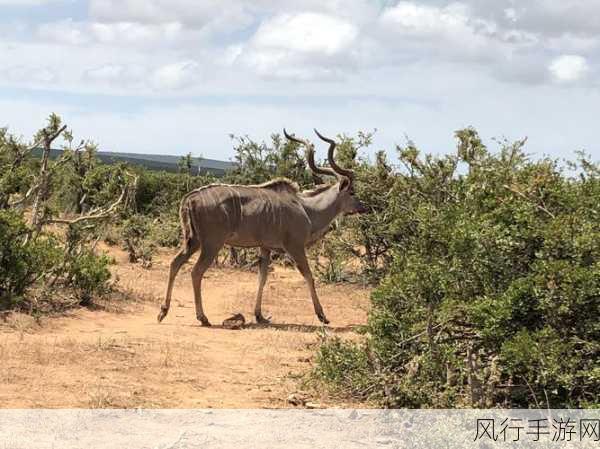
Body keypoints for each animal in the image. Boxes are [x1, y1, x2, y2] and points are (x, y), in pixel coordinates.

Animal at [157, 130, 366, 326]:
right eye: (352, 192)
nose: (363, 207)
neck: (306, 208)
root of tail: (189, 198)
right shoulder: (295, 247)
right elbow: (308, 275)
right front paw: (322, 315)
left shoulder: (265, 248)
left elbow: (262, 278)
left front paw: (259, 315)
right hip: (211, 244)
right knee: (196, 271)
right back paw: (203, 317)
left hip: (193, 241)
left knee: (175, 263)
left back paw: (163, 312)